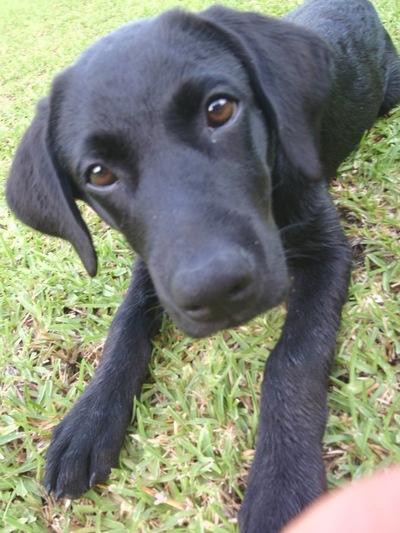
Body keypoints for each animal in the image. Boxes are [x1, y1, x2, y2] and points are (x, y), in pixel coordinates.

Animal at [6, 0, 400, 528]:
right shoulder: (154, 265)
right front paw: (90, 417)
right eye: (99, 174)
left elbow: (293, 358)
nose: (215, 290)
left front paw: (282, 480)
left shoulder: (327, 251)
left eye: (220, 109)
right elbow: (123, 325)